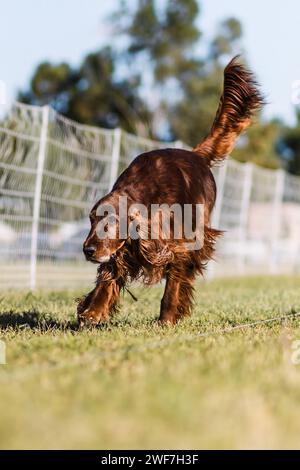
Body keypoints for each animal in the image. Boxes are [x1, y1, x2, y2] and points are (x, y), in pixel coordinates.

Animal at [77, 57, 262, 324]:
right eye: (91, 220)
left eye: (111, 222)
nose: (88, 250)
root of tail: (197, 155)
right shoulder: (124, 247)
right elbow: (109, 275)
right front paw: (93, 310)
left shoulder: (180, 244)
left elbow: (173, 282)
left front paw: (167, 318)